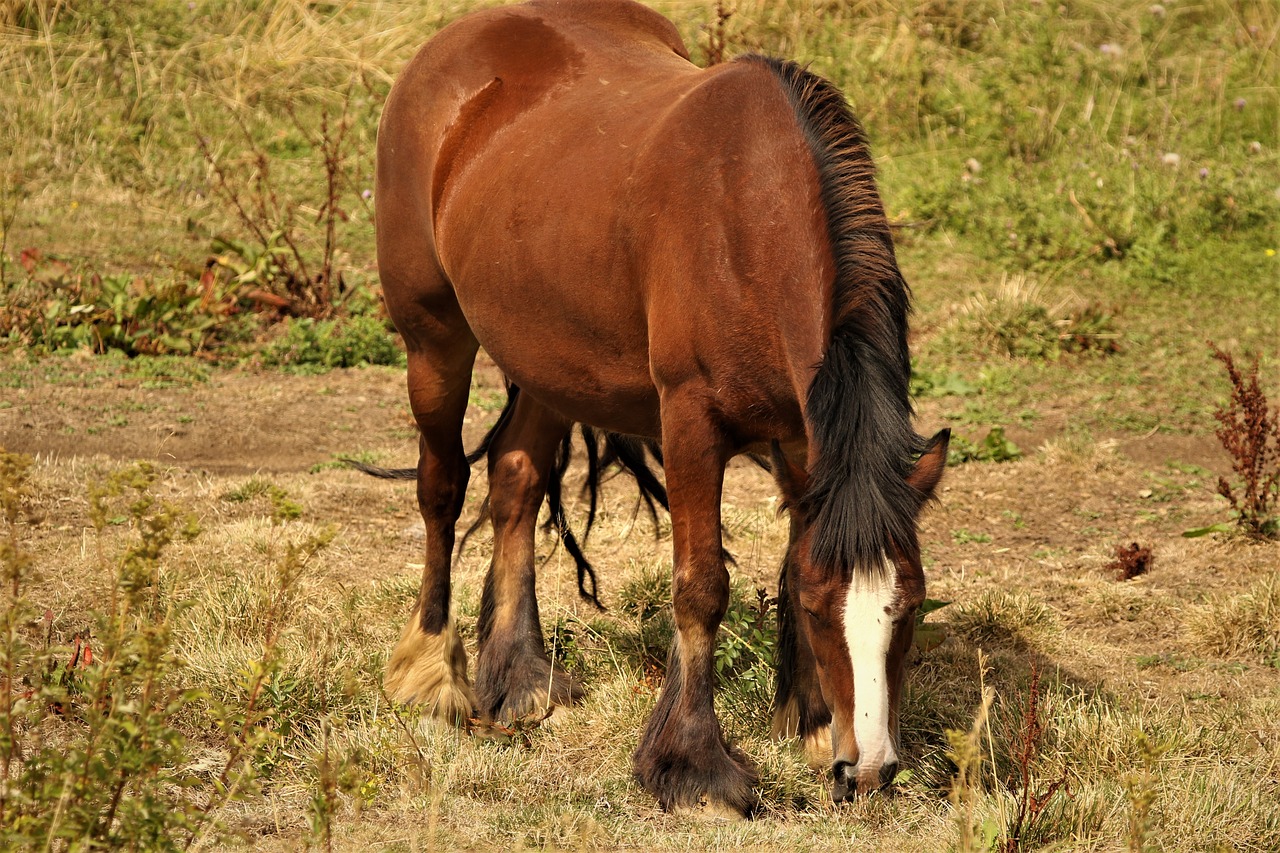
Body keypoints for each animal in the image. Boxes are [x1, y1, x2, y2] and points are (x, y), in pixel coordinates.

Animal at [373, 0, 947, 814]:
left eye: (912, 605)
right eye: (821, 610)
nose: (867, 770)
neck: (749, 220)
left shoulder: (805, 441)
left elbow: (789, 557)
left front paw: (808, 723)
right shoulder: (691, 425)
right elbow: (701, 585)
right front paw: (693, 764)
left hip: (549, 358)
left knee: (515, 480)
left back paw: (519, 677)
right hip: (434, 338)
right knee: (442, 485)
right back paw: (429, 670)